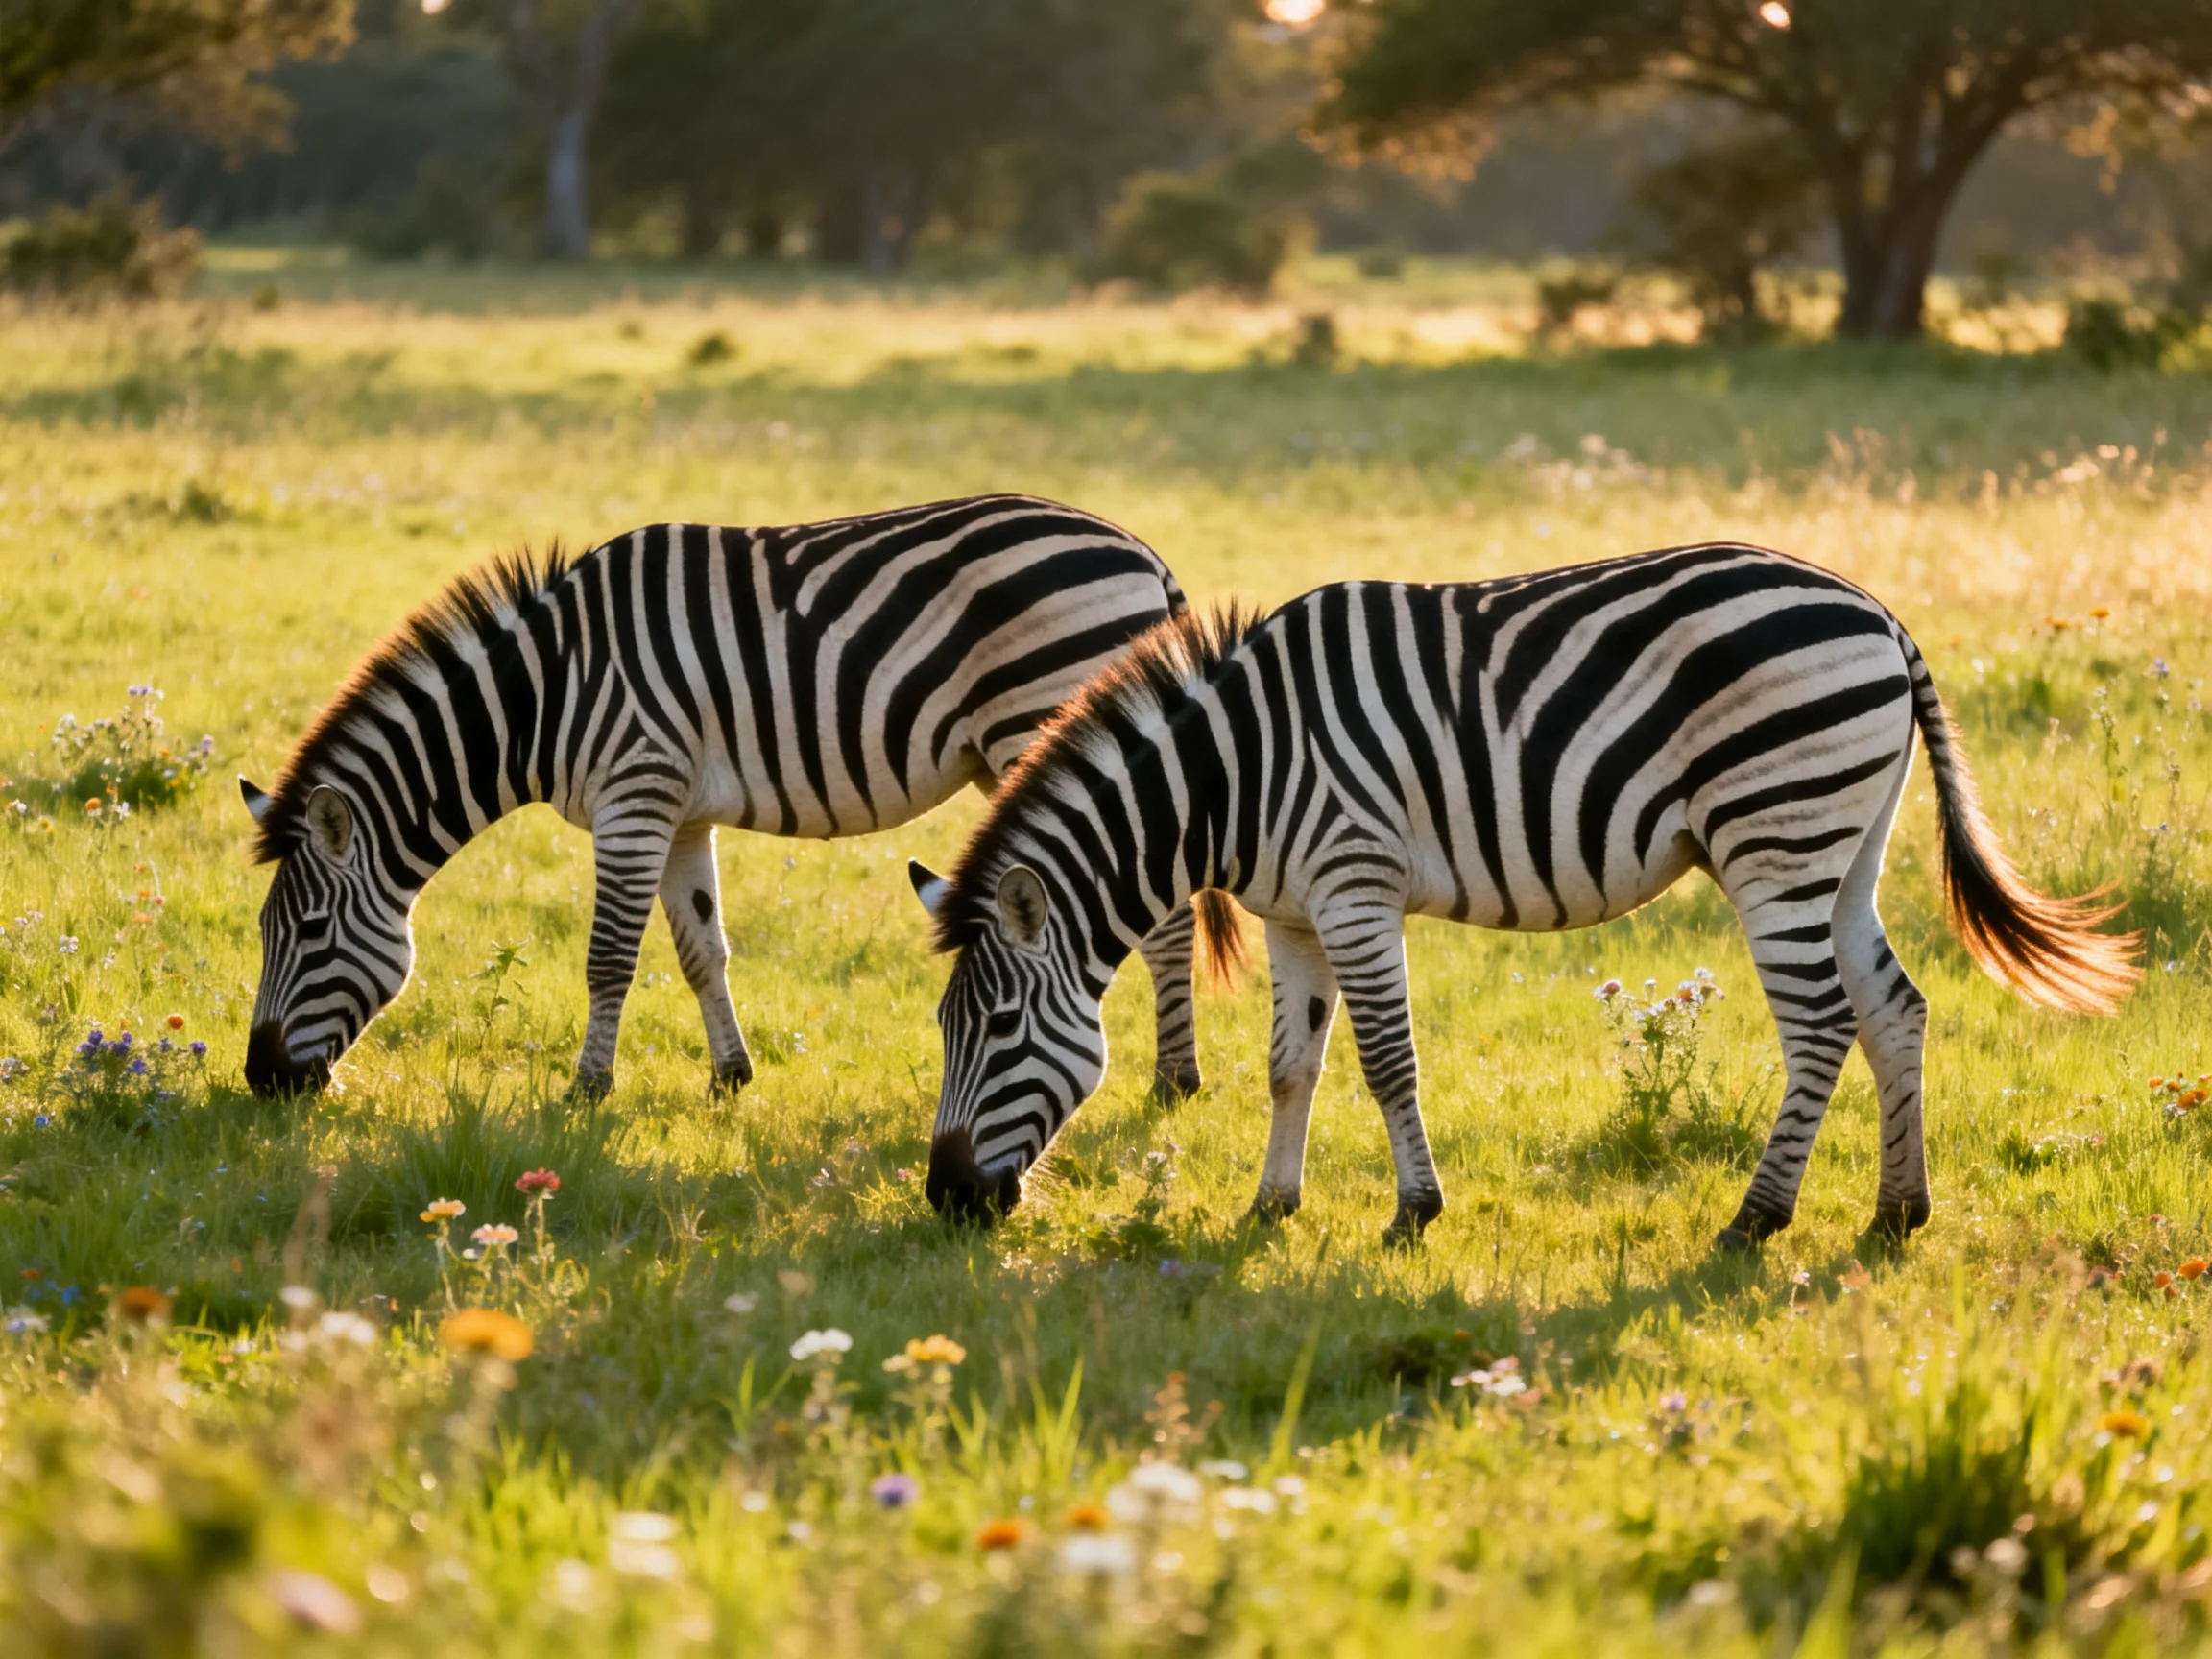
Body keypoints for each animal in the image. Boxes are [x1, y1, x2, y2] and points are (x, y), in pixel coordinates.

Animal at [238, 493, 1239, 1102]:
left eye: (310, 933)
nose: (261, 1080)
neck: (545, 691)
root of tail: (1138, 549)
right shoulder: (678, 811)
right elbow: (700, 950)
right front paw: (730, 1076)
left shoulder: (634, 793)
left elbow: (610, 957)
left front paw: (586, 1091)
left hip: (1050, 717)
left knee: (1163, 922)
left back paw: (1174, 1082)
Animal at [908, 543, 2138, 1246]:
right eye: (945, 1028)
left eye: (1001, 1026)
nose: (945, 1200)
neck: (1233, 770)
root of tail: (1879, 611)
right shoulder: (1294, 912)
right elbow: (1291, 1064)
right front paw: (1269, 1207)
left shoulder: (1354, 883)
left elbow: (1385, 1058)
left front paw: (1413, 1213)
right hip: (1845, 842)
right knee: (1895, 1009)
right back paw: (1896, 1214)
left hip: (1775, 836)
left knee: (1824, 1024)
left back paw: (1756, 1221)